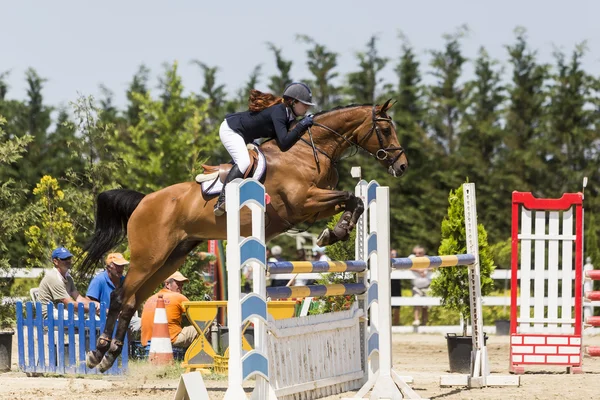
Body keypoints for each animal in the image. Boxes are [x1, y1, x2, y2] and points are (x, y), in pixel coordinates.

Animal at [79, 99, 408, 372]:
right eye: (385, 129)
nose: (402, 166)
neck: (308, 151)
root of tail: (144, 201)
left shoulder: (314, 207)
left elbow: (355, 201)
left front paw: (336, 231)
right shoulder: (304, 202)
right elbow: (350, 197)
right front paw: (335, 232)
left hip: (170, 259)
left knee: (133, 299)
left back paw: (108, 356)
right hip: (149, 256)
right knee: (120, 296)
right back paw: (97, 353)